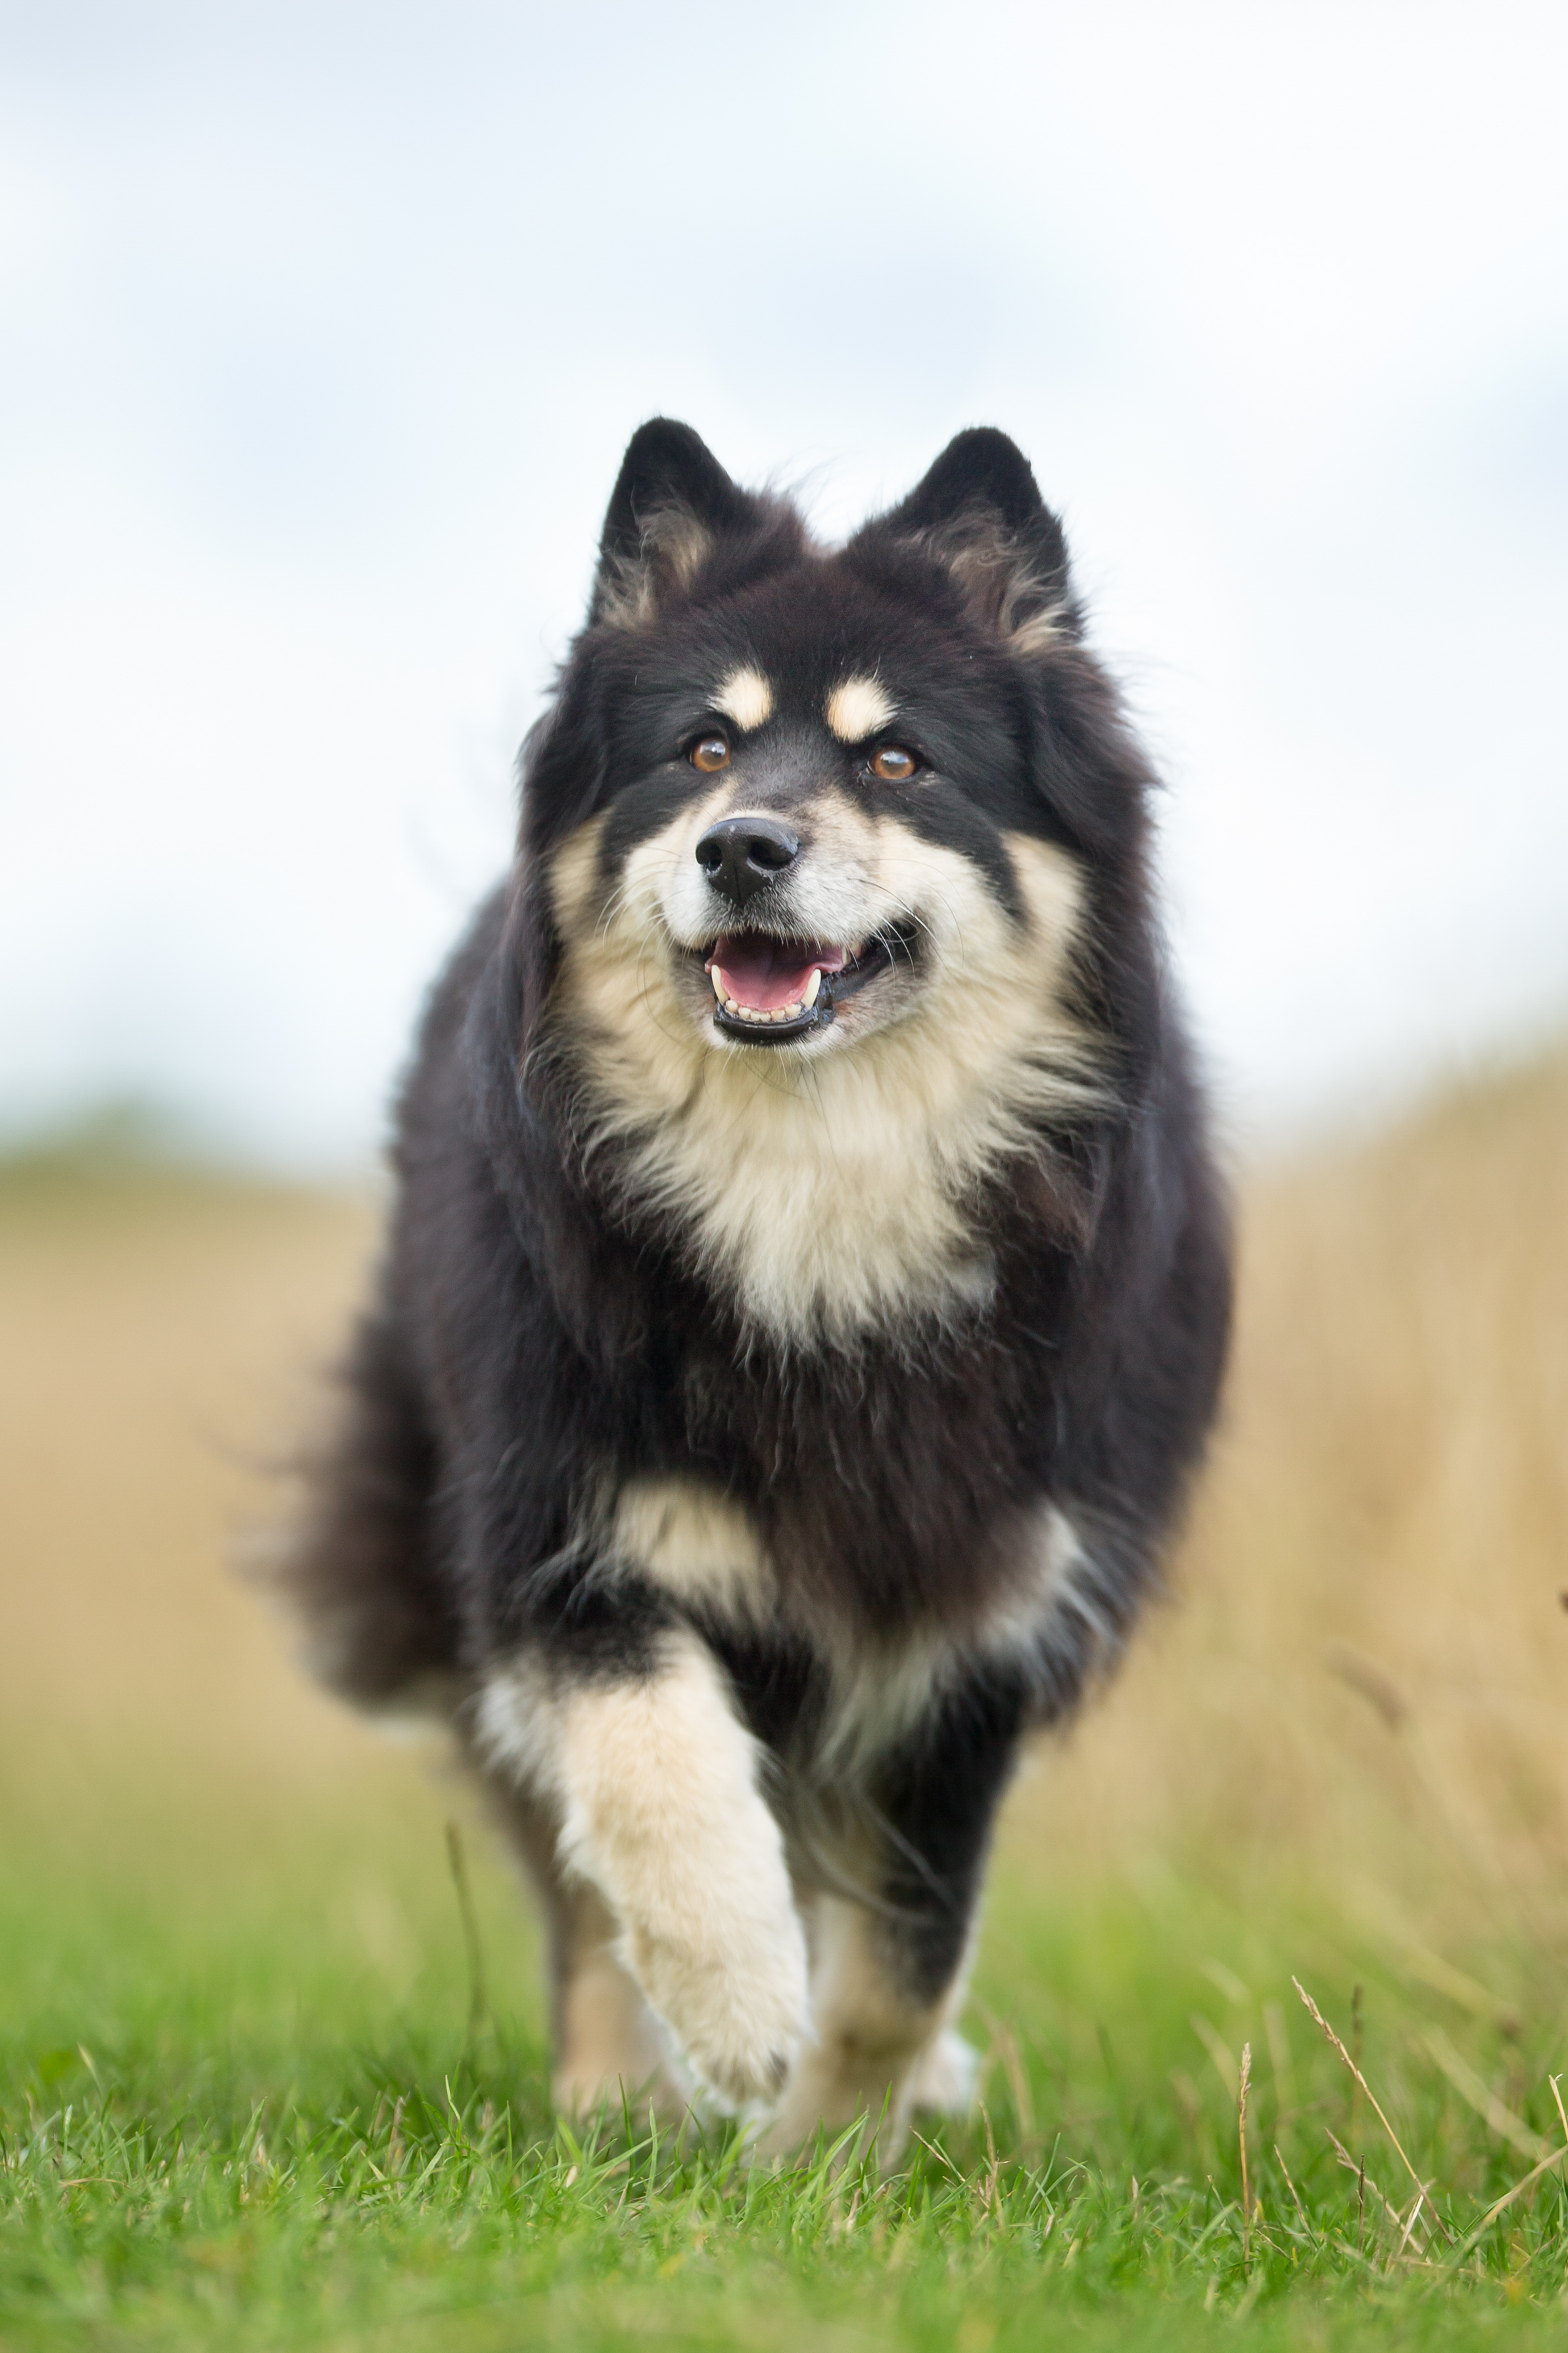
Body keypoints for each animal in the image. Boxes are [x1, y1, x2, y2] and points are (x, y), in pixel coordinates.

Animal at [282, 418, 1241, 2155]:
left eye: (896, 762)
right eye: (703, 752)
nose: (743, 848)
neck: (812, 1180)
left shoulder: (980, 1614)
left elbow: (906, 1950)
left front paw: (828, 2153)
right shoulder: (558, 1526)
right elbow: (655, 1775)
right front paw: (733, 2007)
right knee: (577, 1882)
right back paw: (616, 2096)